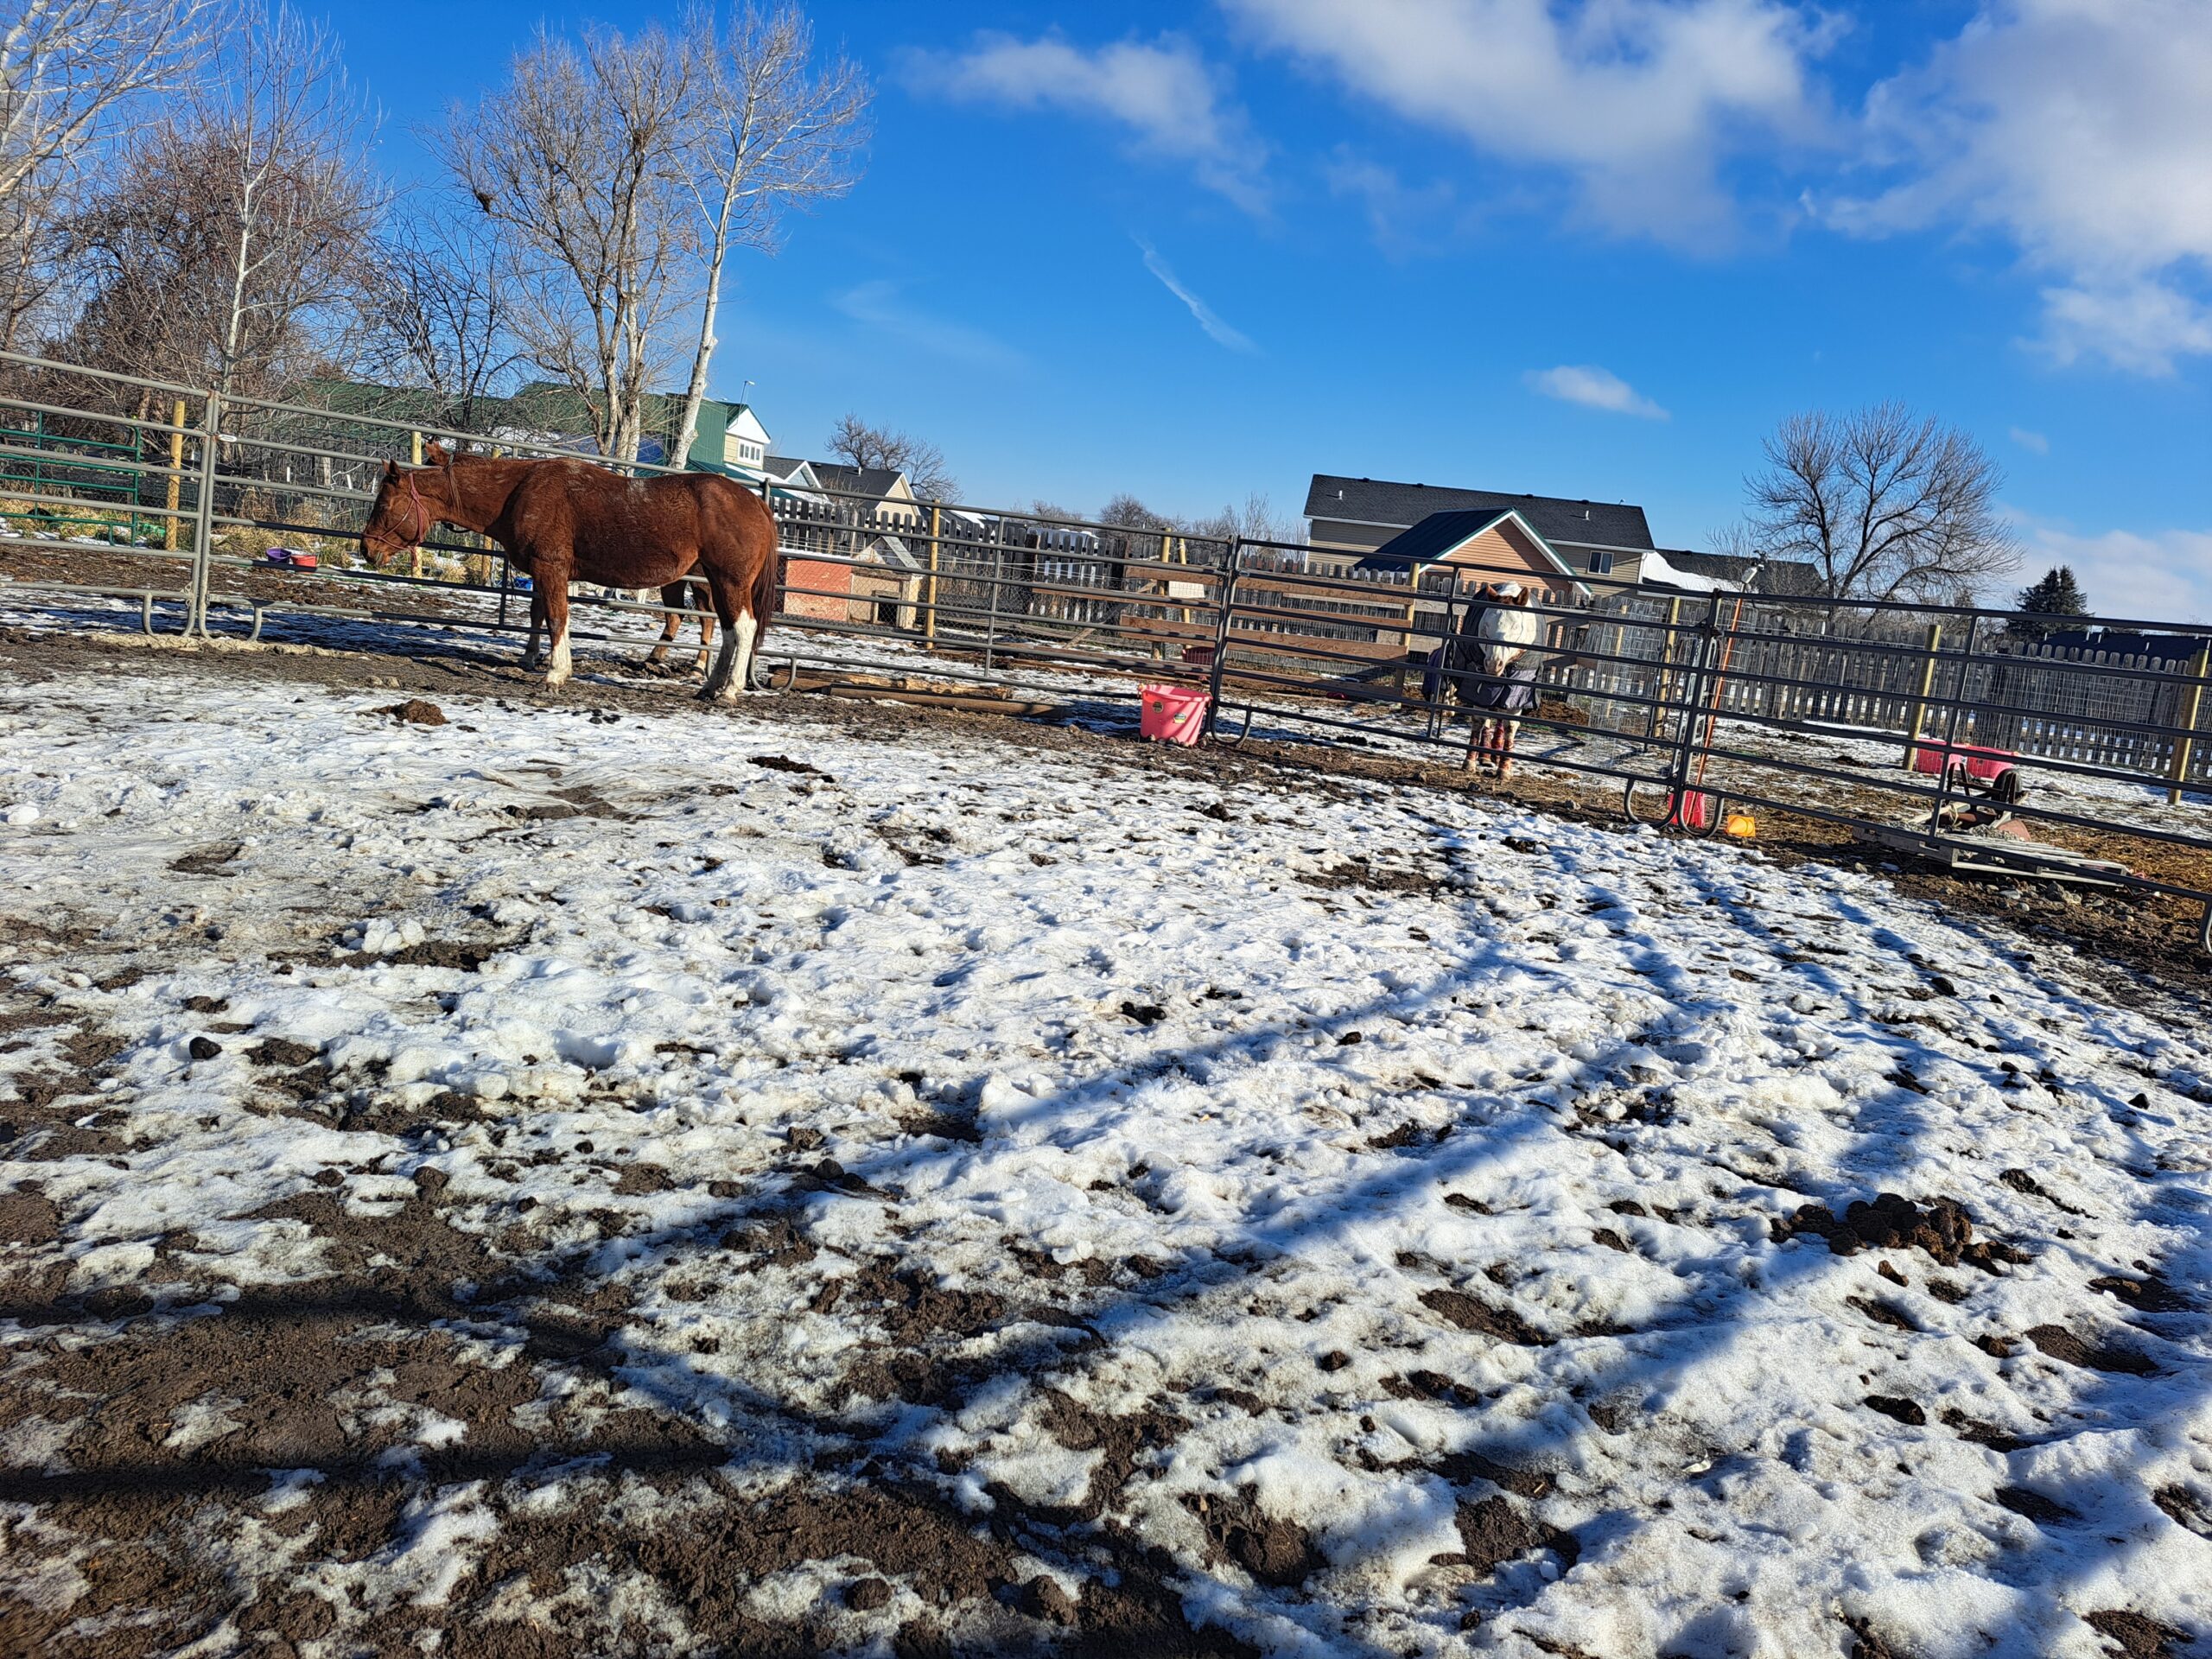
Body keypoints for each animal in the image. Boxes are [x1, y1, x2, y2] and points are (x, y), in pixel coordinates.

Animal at [358, 444, 777, 701]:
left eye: (383, 505)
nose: (367, 549)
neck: (518, 491)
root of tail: (756, 503)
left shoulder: (551, 567)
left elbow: (558, 618)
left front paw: (556, 674)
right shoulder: (543, 571)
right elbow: (539, 614)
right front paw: (531, 658)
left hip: (729, 581)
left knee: (742, 628)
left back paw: (729, 690)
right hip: (717, 582)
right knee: (726, 630)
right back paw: (710, 686)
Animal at [1458, 582, 1544, 780]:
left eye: (1516, 628)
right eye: (1486, 628)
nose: (1493, 664)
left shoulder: (1519, 689)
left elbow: (1510, 726)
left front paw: (1505, 769)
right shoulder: (1479, 687)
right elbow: (1479, 720)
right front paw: (1470, 761)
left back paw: (1496, 755)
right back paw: (1485, 756)